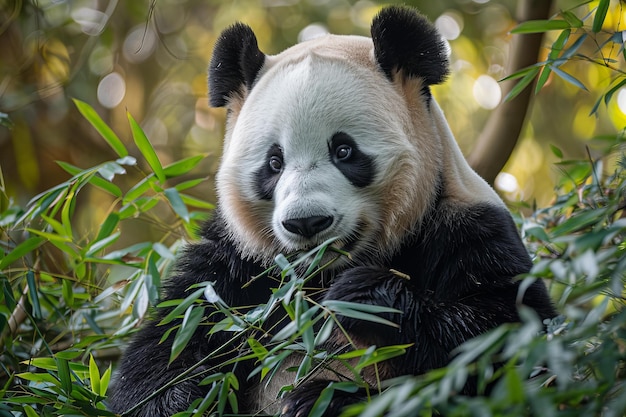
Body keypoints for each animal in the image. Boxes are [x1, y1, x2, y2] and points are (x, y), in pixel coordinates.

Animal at [107, 4, 552, 414]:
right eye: (274, 162)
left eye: (344, 151)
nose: (307, 223)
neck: (318, 278)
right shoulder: (237, 262)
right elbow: (171, 343)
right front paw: (177, 397)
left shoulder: (466, 229)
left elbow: (502, 335)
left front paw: (366, 300)